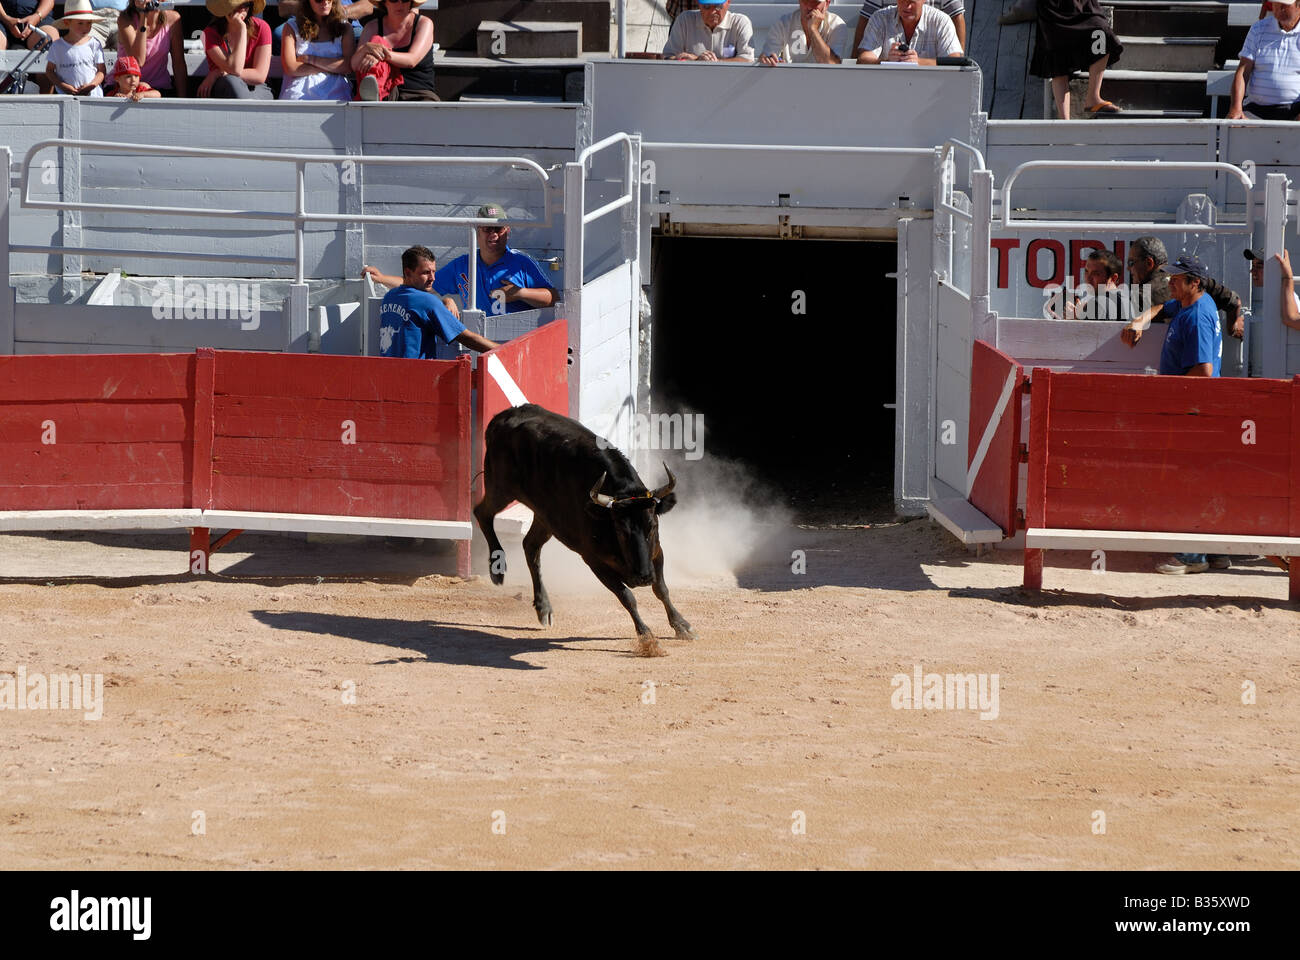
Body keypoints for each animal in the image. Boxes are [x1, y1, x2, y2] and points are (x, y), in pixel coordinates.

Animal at [475, 400, 696, 655]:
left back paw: (544, 607)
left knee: (530, 546)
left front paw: (682, 625)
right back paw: (497, 569)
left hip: (546, 517)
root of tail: (503, 416)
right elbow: (626, 596)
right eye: (620, 530)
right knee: (482, 513)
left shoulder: (656, 552)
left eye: (652, 525)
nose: (643, 577)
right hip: (500, 488)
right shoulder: (593, 560)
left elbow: (661, 589)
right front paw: (647, 637)